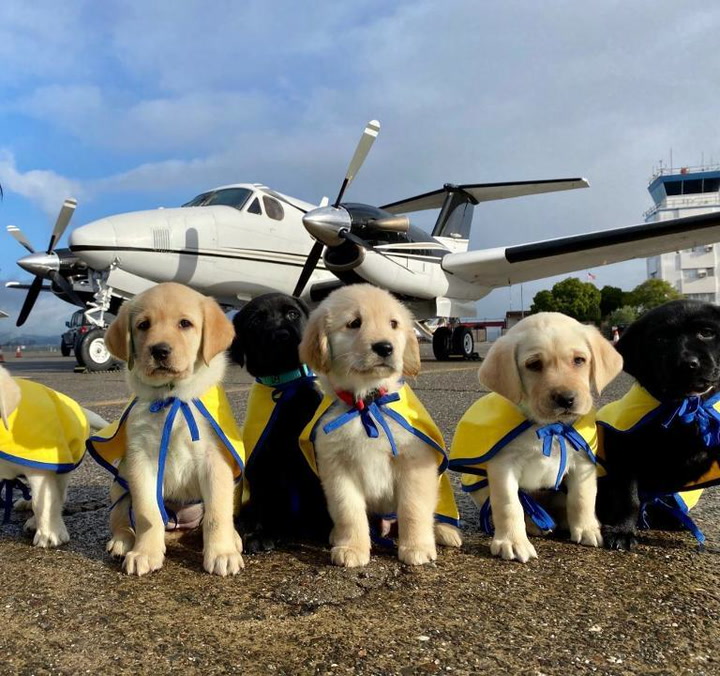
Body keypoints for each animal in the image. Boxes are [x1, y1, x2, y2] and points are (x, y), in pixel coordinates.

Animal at [86, 284, 245, 576]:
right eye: (143, 325)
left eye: (185, 324)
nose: (159, 350)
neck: (172, 397)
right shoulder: (141, 460)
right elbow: (147, 512)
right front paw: (145, 552)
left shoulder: (215, 461)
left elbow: (217, 514)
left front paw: (222, 553)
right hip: (119, 483)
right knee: (121, 518)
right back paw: (122, 541)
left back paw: (233, 539)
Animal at [231, 294, 332, 552]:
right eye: (256, 320)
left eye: (293, 314)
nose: (282, 335)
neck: (285, 386)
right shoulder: (263, 461)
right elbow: (268, 500)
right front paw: (263, 533)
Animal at [298, 282, 462, 568]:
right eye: (354, 323)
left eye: (393, 324)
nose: (385, 347)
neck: (367, 401)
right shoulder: (337, 467)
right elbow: (348, 511)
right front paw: (352, 548)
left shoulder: (414, 463)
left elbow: (413, 508)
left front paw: (416, 547)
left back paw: (444, 531)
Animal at [450, 314, 624, 564]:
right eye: (534, 364)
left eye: (579, 360)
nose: (566, 398)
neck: (547, 426)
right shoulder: (503, 466)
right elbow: (509, 505)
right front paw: (512, 542)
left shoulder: (583, 462)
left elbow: (582, 498)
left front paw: (587, 529)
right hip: (480, 489)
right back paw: (534, 526)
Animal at [600, 302, 720, 548]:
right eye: (660, 339)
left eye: (707, 332)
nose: (688, 364)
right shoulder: (623, 449)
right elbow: (630, 497)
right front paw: (623, 531)